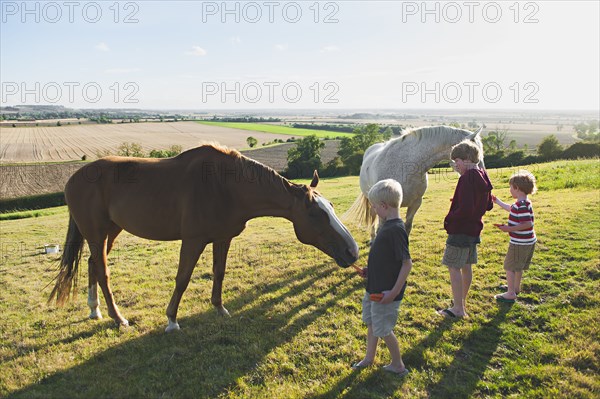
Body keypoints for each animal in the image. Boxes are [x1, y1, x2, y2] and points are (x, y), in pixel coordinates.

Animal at [49, 145, 358, 332]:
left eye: (331, 207)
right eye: (315, 214)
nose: (352, 252)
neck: (225, 186)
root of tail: (73, 179)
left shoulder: (223, 238)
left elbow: (219, 272)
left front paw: (220, 308)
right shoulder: (193, 240)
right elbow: (183, 278)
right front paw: (172, 320)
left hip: (109, 232)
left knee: (92, 264)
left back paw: (94, 311)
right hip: (97, 233)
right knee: (102, 271)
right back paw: (118, 317)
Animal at [346, 126, 482, 238]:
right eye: (474, 156)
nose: (480, 175)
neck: (405, 165)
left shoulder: (416, 203)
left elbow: (407, 227)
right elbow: (381, 228)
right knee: (373, 218)